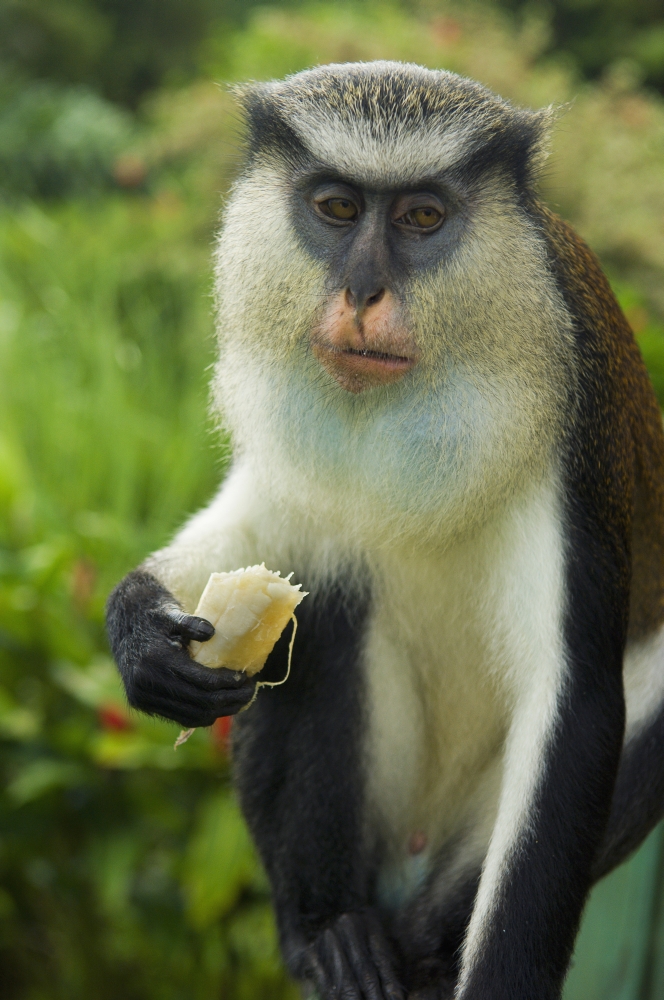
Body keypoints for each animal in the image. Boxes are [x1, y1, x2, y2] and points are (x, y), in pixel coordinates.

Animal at [106, 61, 664, 999]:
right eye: (336, 208)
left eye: (422, 218)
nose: (363, 291)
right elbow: (254, 526)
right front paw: (143, 634)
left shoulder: (574, 424)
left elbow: (572, 705)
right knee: (325, 597)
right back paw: (331, 936)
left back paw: (424, 953)